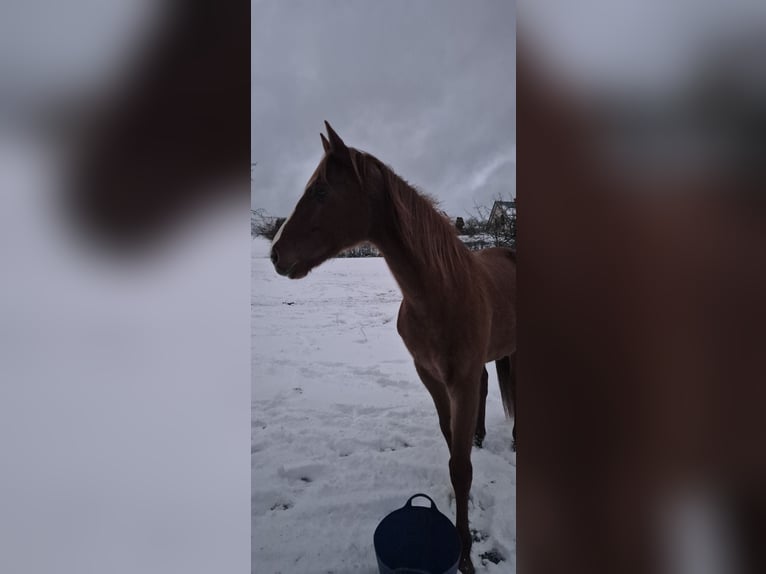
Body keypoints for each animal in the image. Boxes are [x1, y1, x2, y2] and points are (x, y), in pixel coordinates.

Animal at [270, 121, 516, 574]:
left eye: (320, 191)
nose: (275, 254)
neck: (441, 292)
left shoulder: (460, 381)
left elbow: (461, 469)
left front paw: (465, 555)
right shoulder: (432, 376)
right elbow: (452, 450)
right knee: (489, 383)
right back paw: (479, 435)